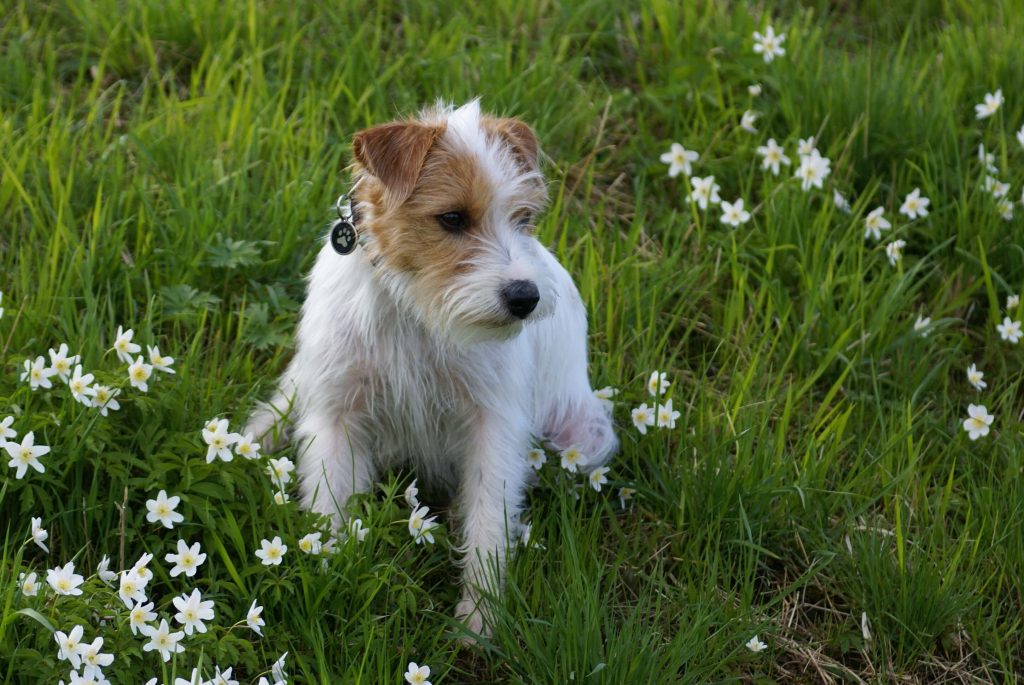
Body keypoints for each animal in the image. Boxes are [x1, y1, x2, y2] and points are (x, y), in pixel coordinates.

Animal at [244, 98, 618, 634]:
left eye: (523, 218)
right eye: (453, 218)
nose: (525, 298)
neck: (415, 311)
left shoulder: (492, 427)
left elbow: (487, 521)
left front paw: (480, 619)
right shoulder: (335, 417)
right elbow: (330, 508)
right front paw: (331, 576)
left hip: (587, 437)